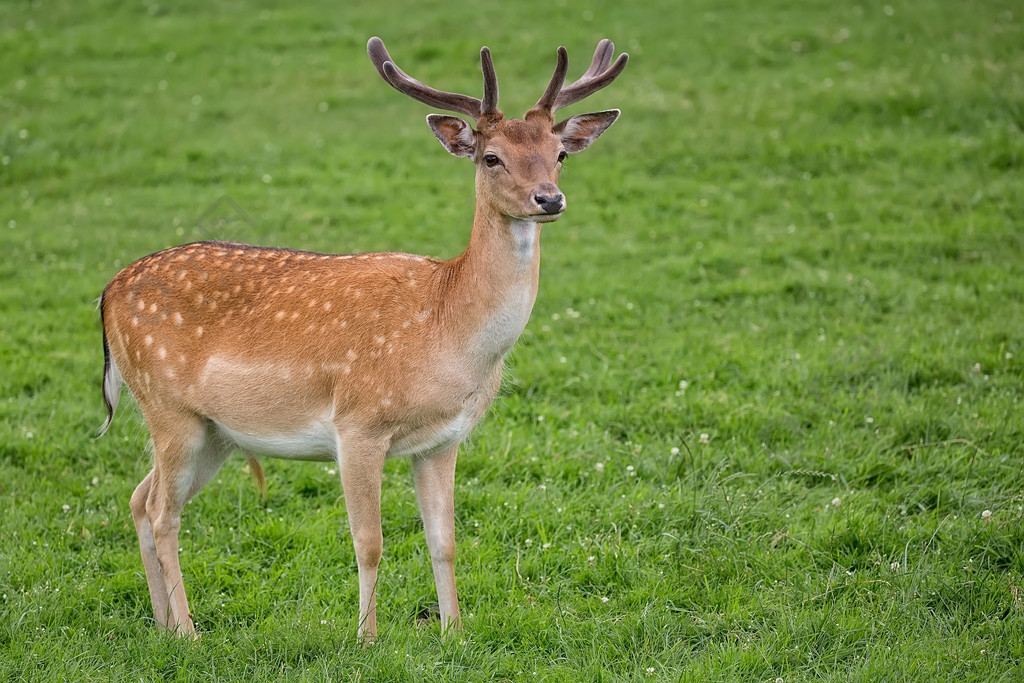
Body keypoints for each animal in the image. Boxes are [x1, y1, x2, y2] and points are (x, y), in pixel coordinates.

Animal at [97, 36, 622, 643]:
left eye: (559, 154)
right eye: (491, 157)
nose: (549, 199)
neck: (447, 332)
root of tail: (107, 294)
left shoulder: (444, 439)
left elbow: (445, 540)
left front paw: (454, 632)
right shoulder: (358, 424)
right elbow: (369, 542)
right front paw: (366, 638)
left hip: (215, 431)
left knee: (139, 498)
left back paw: (161, 624)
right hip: (167, 407)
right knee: (163, 511)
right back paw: (188, 631)